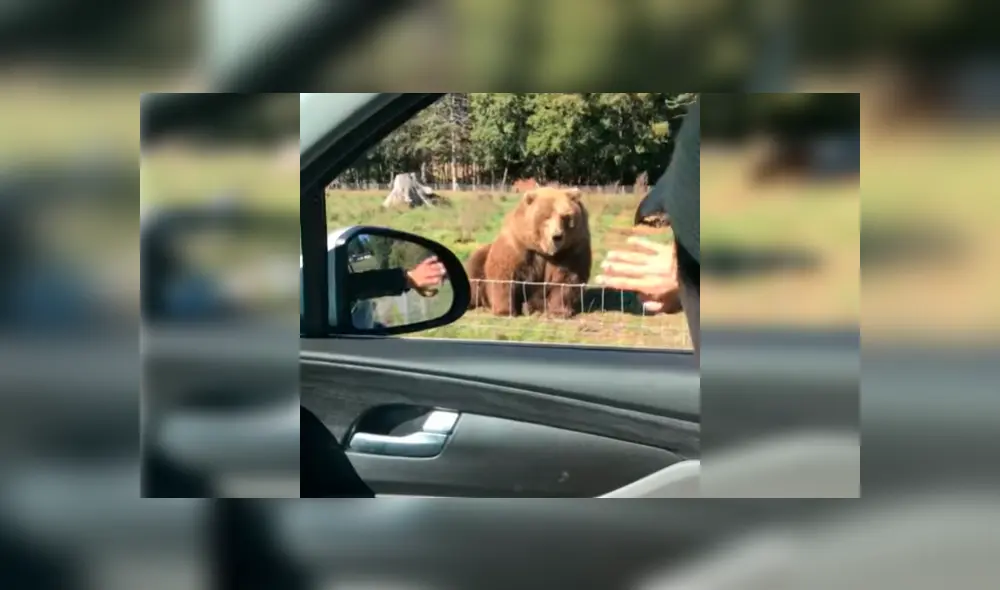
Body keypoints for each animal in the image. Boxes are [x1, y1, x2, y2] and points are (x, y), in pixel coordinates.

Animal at [465, 186, 592, 318]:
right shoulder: (518, 244)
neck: (543, 249)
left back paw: (529, 307)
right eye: (546, 216)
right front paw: (505, 311)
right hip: (480, 260)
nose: (557, 236)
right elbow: (504, 274)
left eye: (565, 217)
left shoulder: (571, 249)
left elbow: (566, 279)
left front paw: (560, 311)